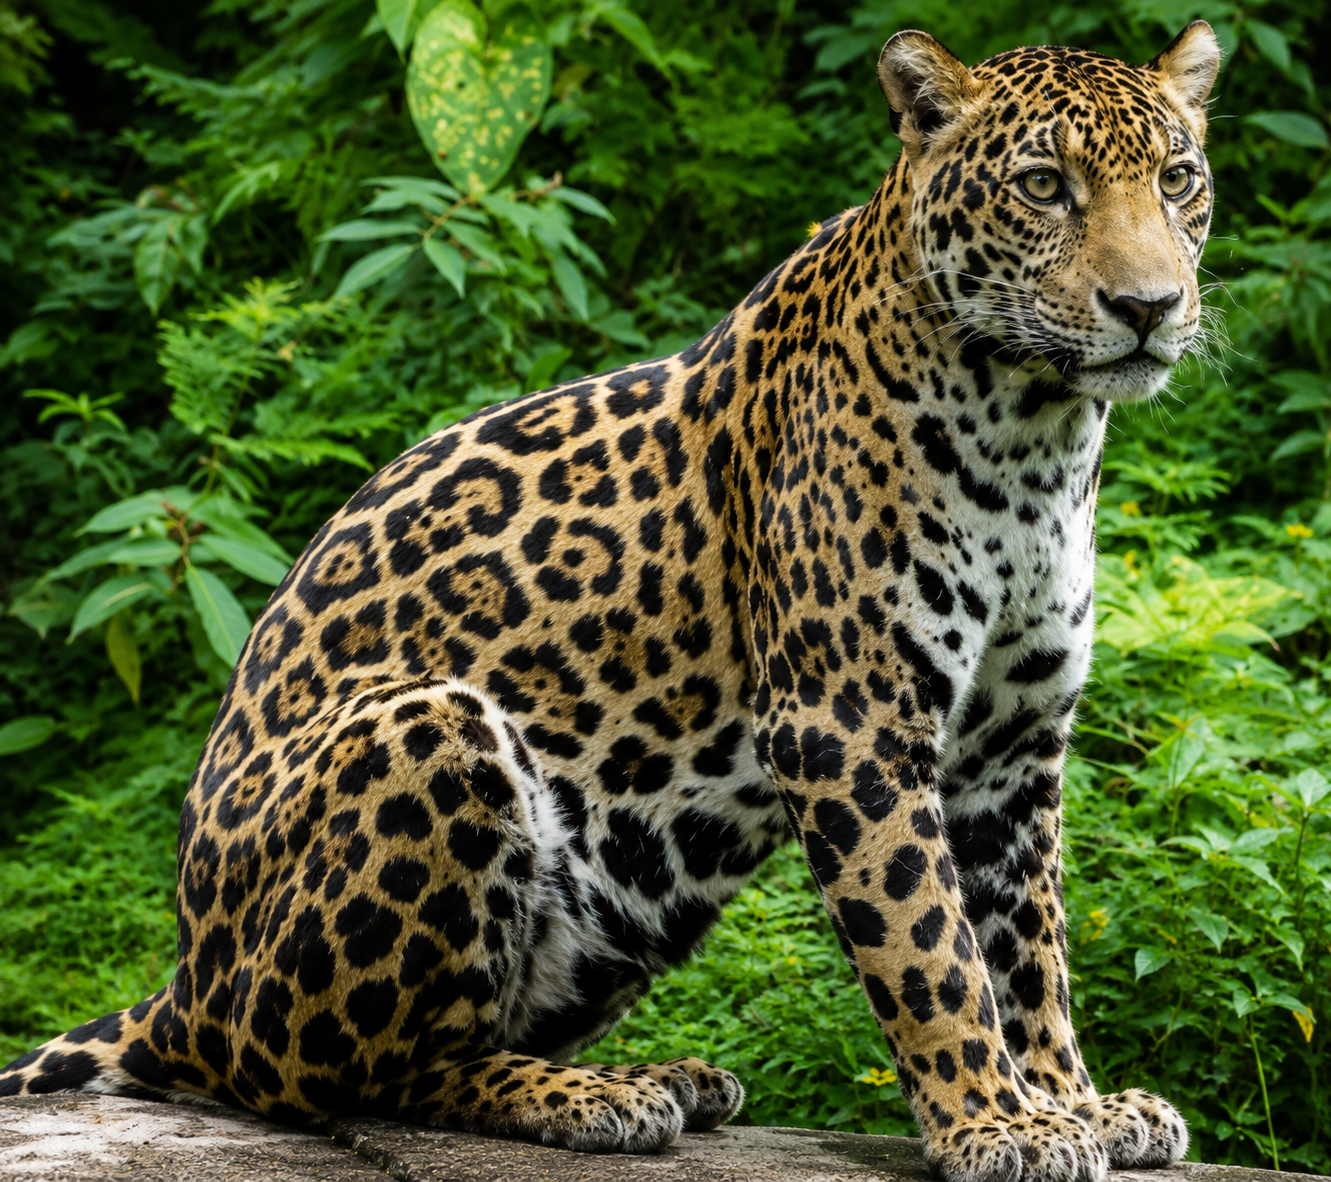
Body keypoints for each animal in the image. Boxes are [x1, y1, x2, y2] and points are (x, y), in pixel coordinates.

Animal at [1, 21, 1221, 1182]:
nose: (1148, 306)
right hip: (430, 731)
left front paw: (1073, 1105)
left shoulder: (1013, 743)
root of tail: (183, 986)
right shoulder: (848, 721)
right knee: (354, 1073)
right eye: (1042, 186)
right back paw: (600, 1097)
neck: (1036, 436)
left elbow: (1027, 947)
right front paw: (990, 1124)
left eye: (1175, 179)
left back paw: (664, 1077)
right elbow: (929, 945)